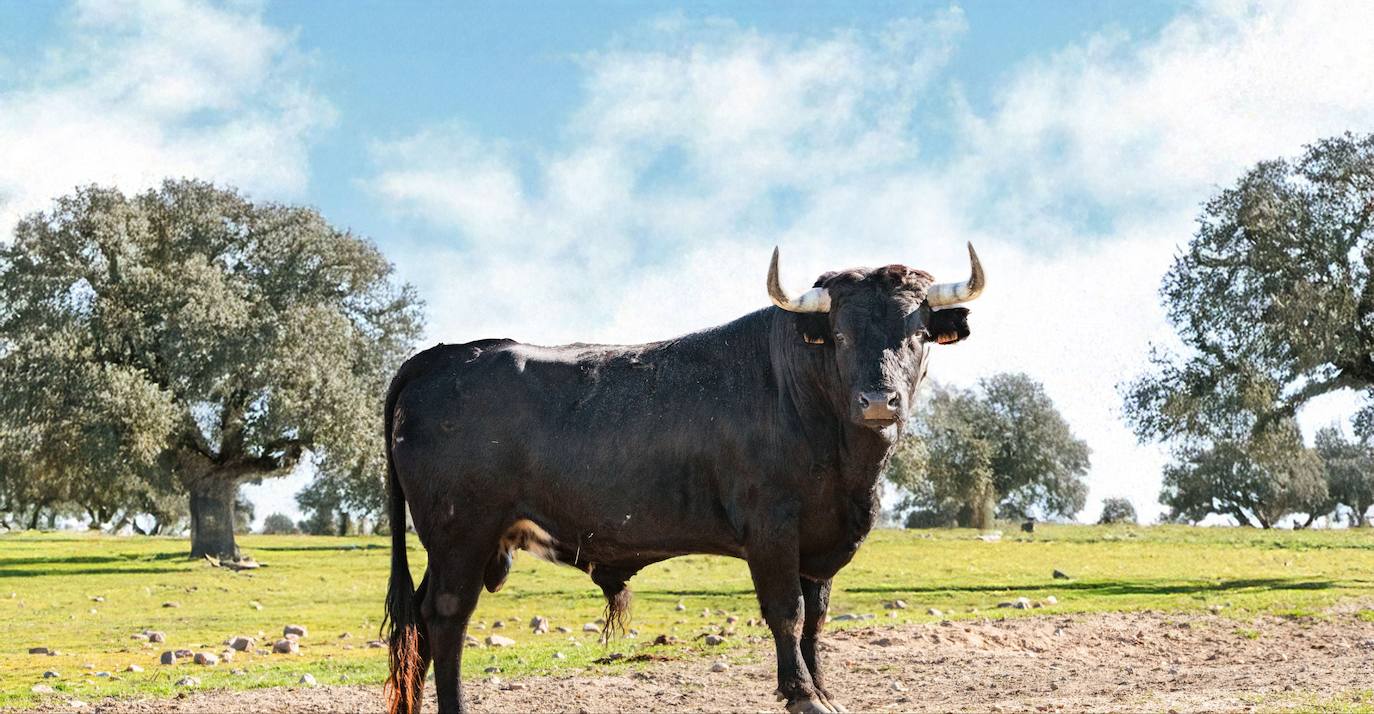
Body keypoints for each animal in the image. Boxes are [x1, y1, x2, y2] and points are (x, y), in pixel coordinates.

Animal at [381, 248, 983, 708]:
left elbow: (816, 619)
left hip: (462, 544)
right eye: (838, 334)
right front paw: (802, 695)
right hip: (462, 533)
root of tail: (441, 356)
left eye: (919, 333)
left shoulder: (820, 541)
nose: (878, 401)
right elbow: (786, 613)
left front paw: (823, 690)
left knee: (421, 627)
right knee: (446, 618)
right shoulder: (771, 531)